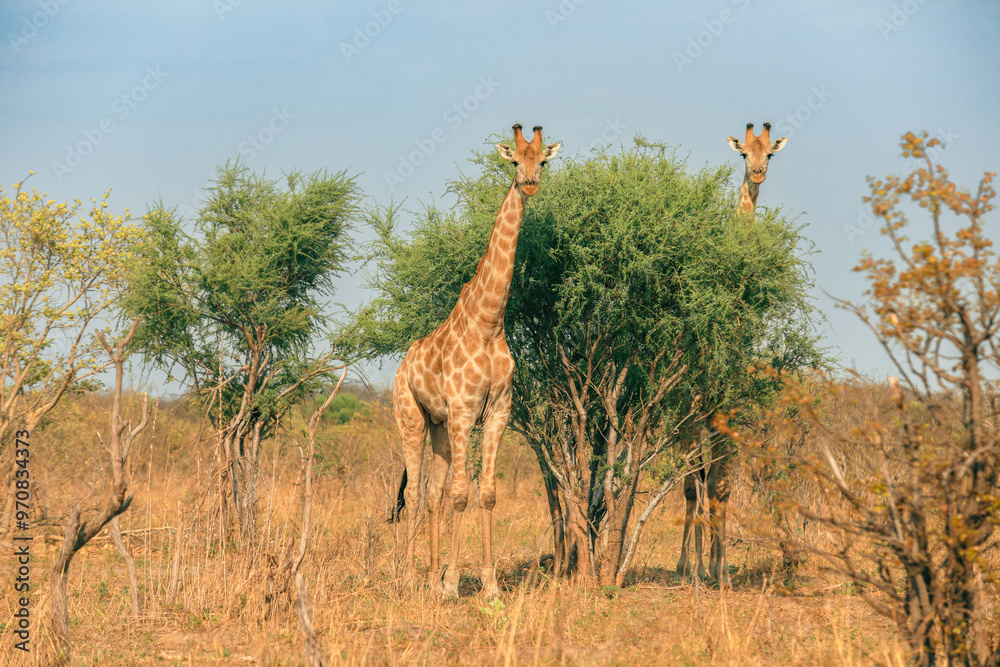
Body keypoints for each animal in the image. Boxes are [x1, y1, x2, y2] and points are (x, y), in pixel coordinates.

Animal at [390, 123, 560, 599]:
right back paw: (407, 577)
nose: (530, 184)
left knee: (432, 492)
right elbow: (462, 495)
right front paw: (452, 584)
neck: (488, 322)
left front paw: (488, 585)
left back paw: (428, 577)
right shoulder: (466, 411)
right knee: (416, 495)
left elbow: (485, 494)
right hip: (410, 418)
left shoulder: (498, 411)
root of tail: (400, 367)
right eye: (514, 160)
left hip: (438, 425)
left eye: (542, 161)